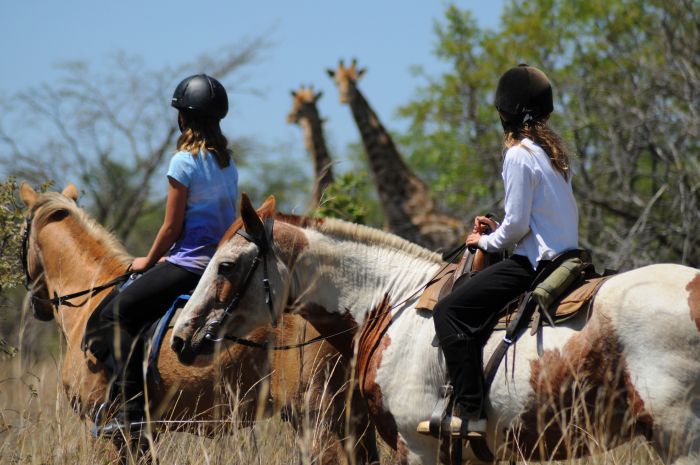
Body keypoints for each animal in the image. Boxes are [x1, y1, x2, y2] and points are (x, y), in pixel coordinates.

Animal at [17, 183, 378, 462]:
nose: (38, 305)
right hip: (355, 421)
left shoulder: (104, 427)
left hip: (320, 418)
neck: (94, 289)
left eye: (22, 234)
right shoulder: (143, 435)